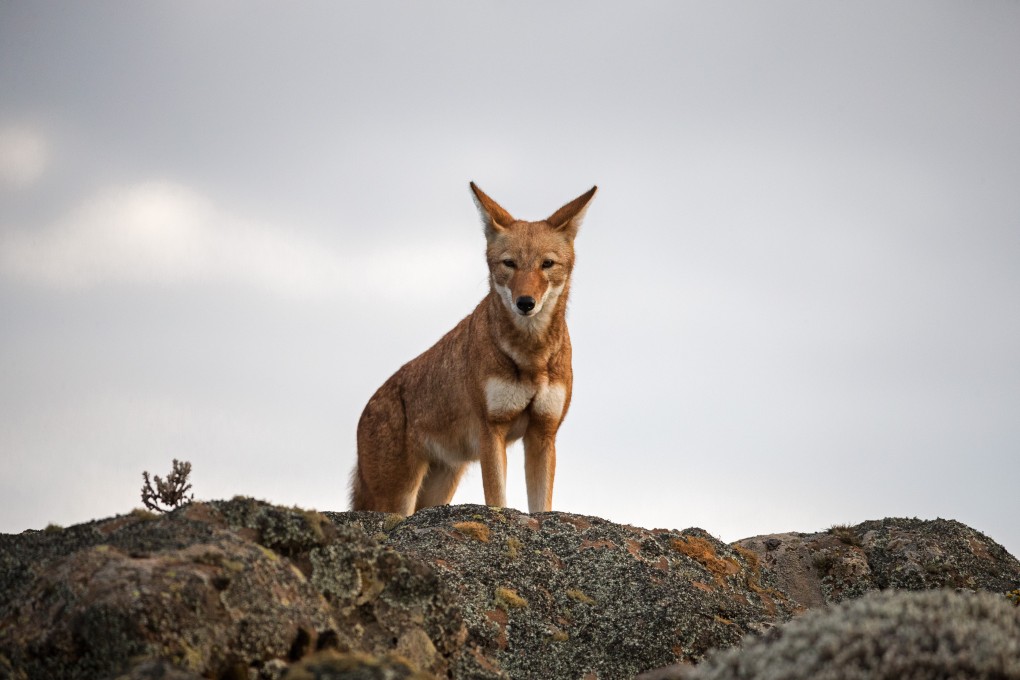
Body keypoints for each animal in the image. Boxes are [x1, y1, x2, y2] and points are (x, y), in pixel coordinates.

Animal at [348, 182, 595, 515]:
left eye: (546, 264)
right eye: (509, 263)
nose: (525, 303)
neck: (530, 356)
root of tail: (365, 411)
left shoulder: (543, 434)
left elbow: (542, 506)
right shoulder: (491, 431)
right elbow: (498, 500)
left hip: (439, 487)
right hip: (398, 498)